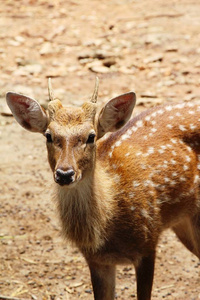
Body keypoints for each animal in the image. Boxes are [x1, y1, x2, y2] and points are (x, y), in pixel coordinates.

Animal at [5, 78, 200, 300]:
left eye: (91, 136)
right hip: (183, 222)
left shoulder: (148, 243)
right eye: (48, 135)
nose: (64, 174)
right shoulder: (97, 260)